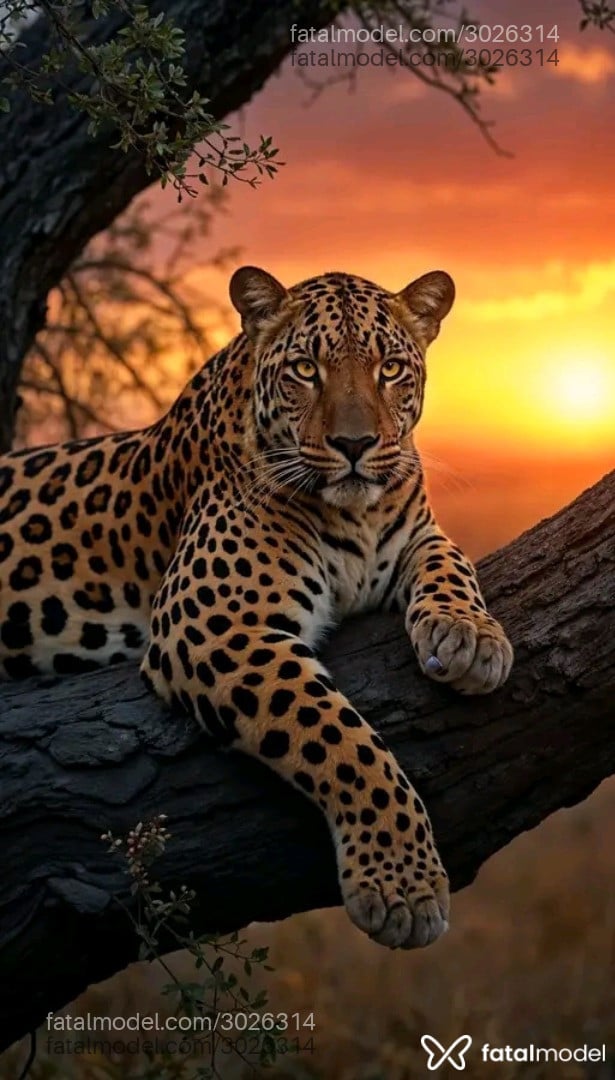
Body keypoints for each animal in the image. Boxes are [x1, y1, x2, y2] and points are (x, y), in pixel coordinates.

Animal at [0, 265, 513, 950]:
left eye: (389, 369)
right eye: (305, 369)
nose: (355, 444)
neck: (356, 514)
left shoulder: (418, 534)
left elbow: (451, 564)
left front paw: (469, 637)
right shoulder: (213, 624)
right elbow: (341, 740)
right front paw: (401, 883)